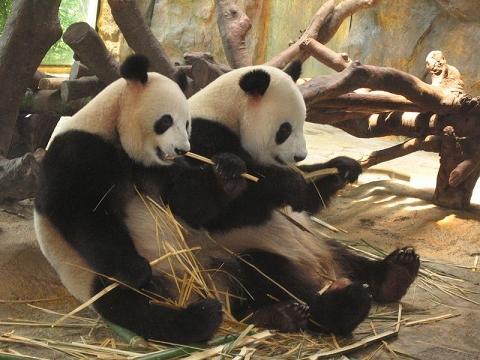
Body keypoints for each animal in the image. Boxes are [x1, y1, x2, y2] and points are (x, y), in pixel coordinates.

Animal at [124, 62, 420, 338]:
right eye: (285, 129)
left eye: (304, 122)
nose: (300, 156)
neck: (224, 112)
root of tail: (323, 270)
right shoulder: (198, 139)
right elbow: (204, 207)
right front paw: (284, 183)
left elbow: (305, 200)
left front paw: (342, 168)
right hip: (232, 257)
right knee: (271, 276)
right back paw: (338, 305)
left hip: (318, 241)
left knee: (348, 255)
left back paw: (396, 272)